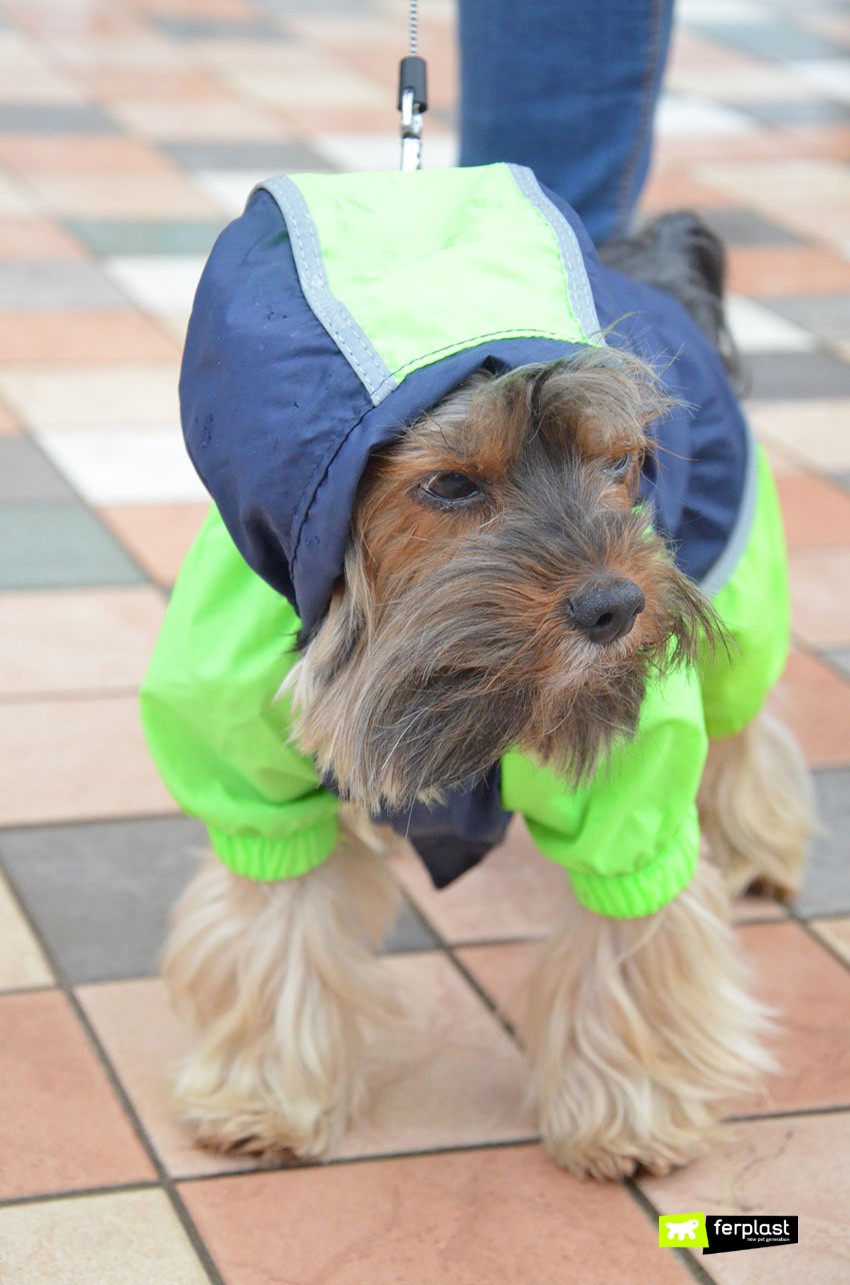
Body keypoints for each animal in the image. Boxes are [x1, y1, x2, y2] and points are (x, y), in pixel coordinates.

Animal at [142, 168, 812, 1182]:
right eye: (451, 484)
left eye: (623, 464)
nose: (616, 605)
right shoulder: (251, 768)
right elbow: (278, 925)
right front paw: (266, 1093)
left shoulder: (631, 776)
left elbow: (631, 930)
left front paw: (629, 1110)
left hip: (740, 574)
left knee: (743, 724)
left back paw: (756, 849)